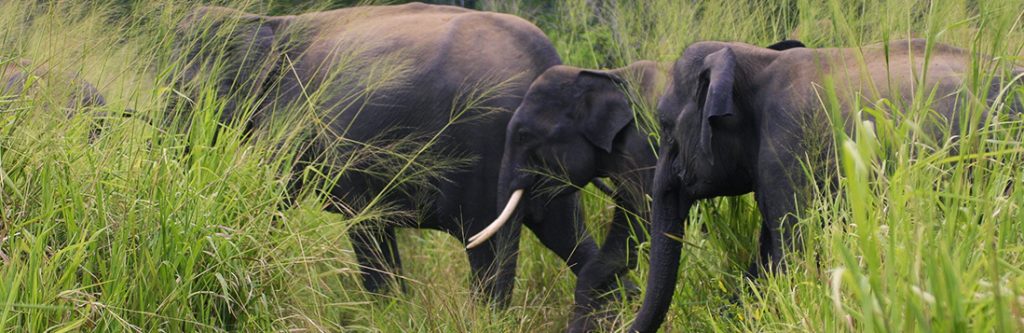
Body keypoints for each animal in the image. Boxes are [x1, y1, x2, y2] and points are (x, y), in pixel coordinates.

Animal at [166, 1, 618, 309]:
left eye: (179, 90)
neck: (266, 25)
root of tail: (547, 59)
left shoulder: (292, 119)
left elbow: (273, 203)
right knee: (571, 240)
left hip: (490, 149)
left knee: (492, 252)